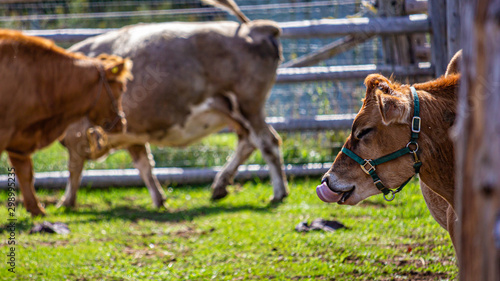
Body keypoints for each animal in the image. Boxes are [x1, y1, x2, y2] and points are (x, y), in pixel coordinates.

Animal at [0, 29, 132, 215]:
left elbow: (26, 173)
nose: (122, 123)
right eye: (121, 88)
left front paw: (37, 209)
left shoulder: (19, 136)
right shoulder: (5, 132)